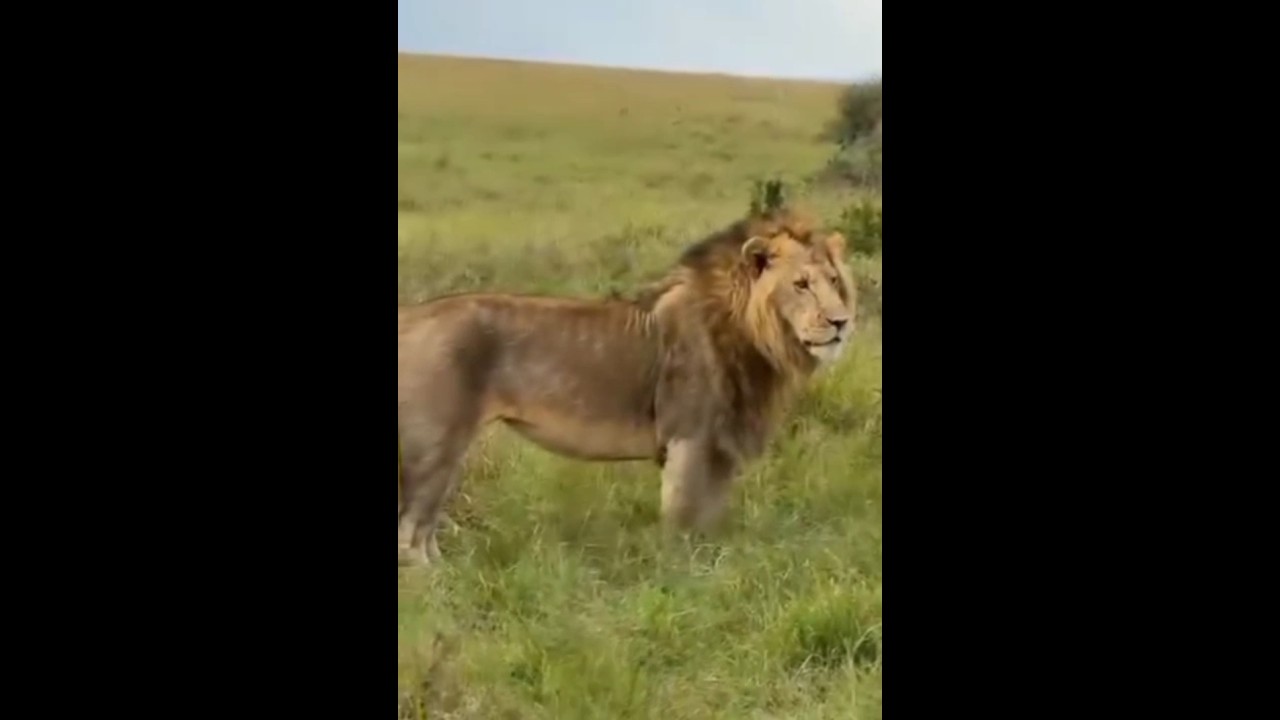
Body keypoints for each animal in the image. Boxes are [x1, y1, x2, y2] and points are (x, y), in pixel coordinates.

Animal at [397, 207, 857, 565]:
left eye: (834, 281)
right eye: (801, 284)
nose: (841, 322)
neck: (757, 339)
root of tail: (410, 316)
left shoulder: (721, 444)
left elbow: (709, 517)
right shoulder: (690, 437)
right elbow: (683, 515)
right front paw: (684, 572)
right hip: (436, 443)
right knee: (411, 533)